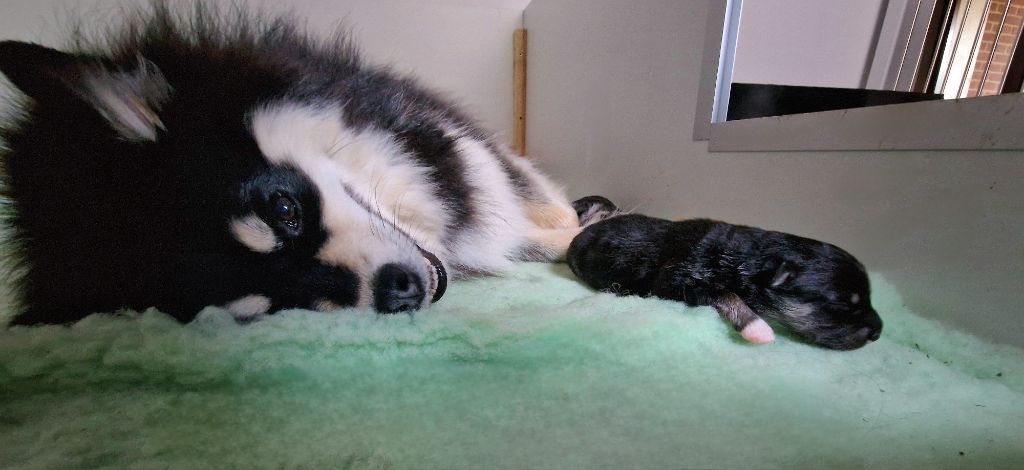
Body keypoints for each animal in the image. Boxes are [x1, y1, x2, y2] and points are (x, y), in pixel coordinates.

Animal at [0, 3, 585, 325]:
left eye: (284, 209)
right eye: (275, 305)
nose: (401, 291)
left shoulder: (448, 139)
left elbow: (544, 211)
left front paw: (580, 230)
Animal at [569, 208, 880, 350]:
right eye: (843, 305)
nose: (878, 332)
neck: (748, 258)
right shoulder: (677, 279)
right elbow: (727, 294)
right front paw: (758, 328)